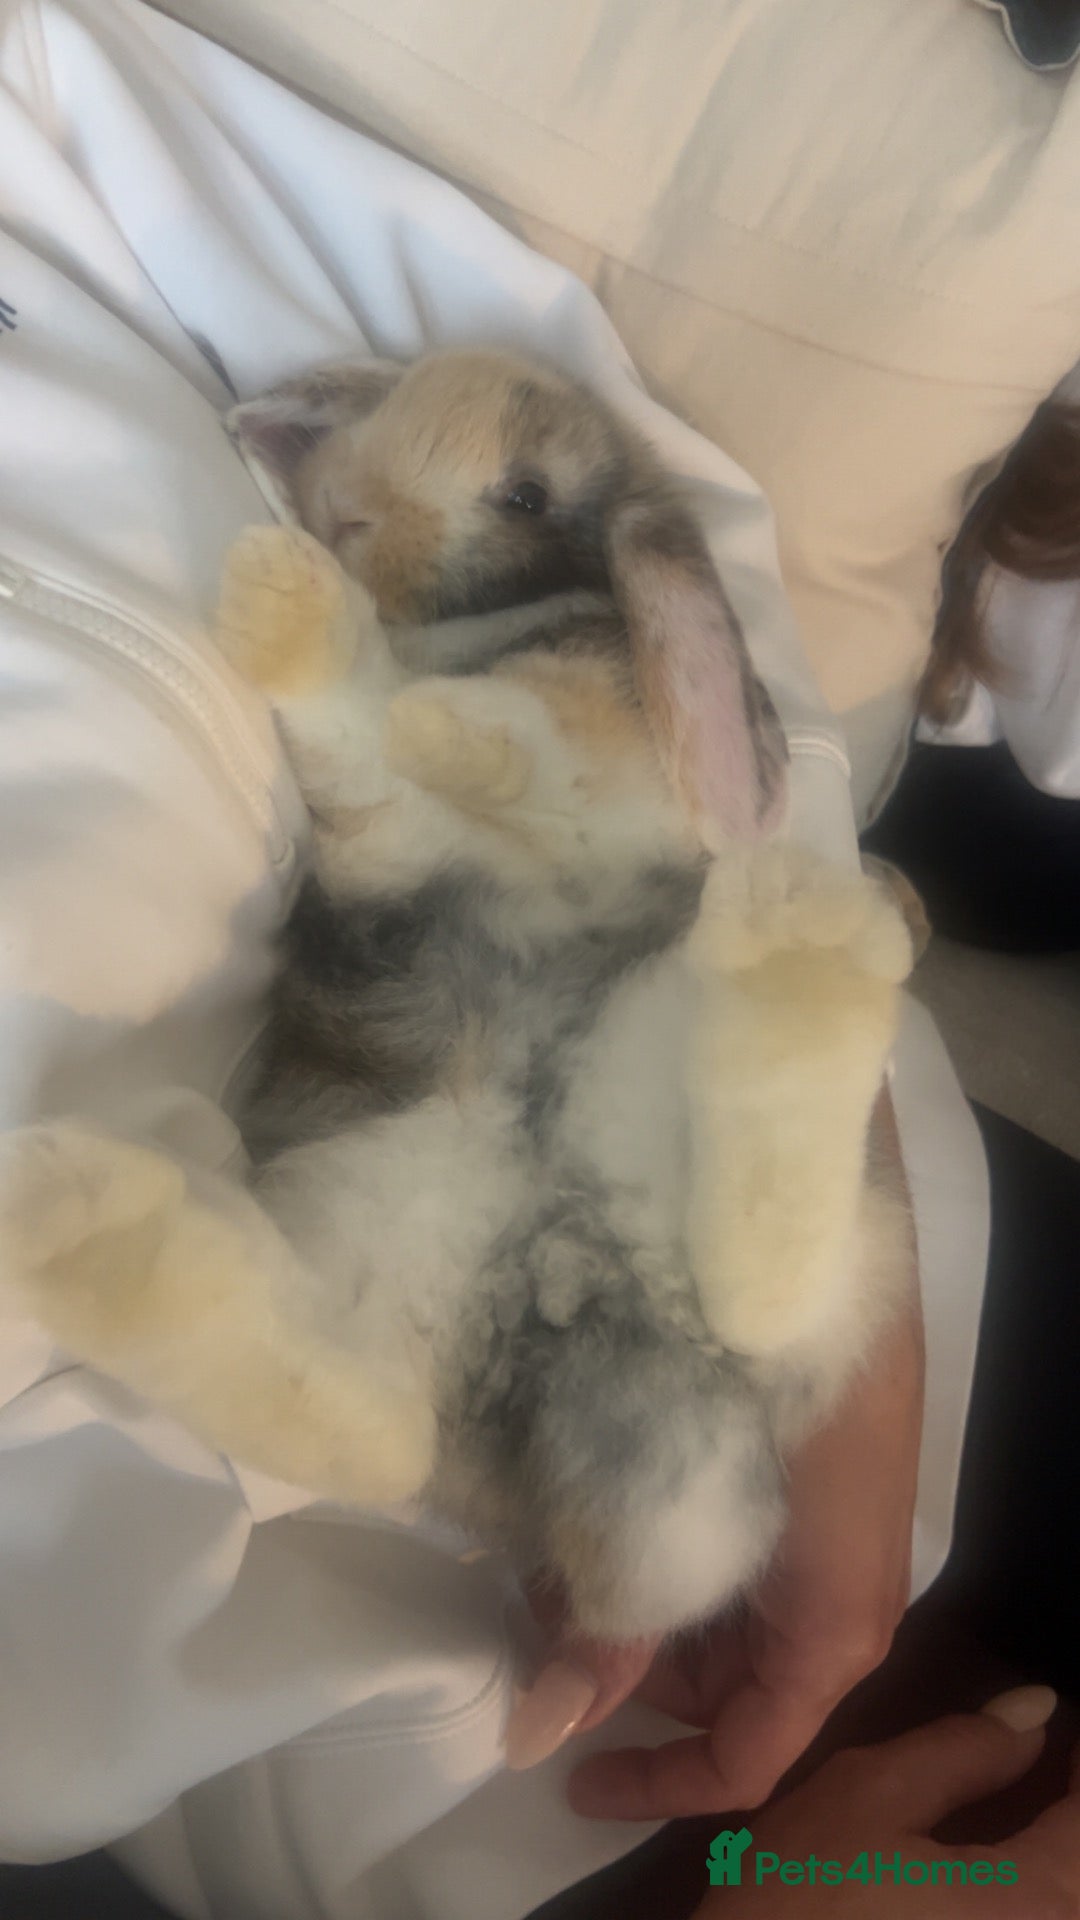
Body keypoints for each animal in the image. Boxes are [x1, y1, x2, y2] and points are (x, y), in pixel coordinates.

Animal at [0, 350, 912, 1642]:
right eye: (389, 404)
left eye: (526, 494)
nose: (342, 513)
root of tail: (579, 1276)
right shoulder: (390, 820)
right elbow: (370, 746)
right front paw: (295, 608)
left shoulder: (595, 737)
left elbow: (523, 738)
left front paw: (424, 708)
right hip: (376, 1225)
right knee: (384, 1436)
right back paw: (92, 1232)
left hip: (664, 1056)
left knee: (766, 1304)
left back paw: (809, 940)